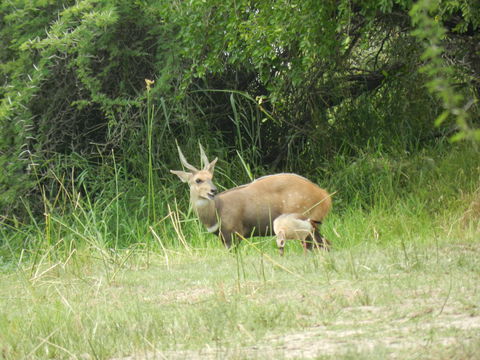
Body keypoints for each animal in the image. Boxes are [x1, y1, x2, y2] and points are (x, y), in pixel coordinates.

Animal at [171, 145, 332, 249]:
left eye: (211, 177)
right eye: (198, 180)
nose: (213, 190)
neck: (217, 211)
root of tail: (324, 196)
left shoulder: (234, 235)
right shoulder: (224, 238)